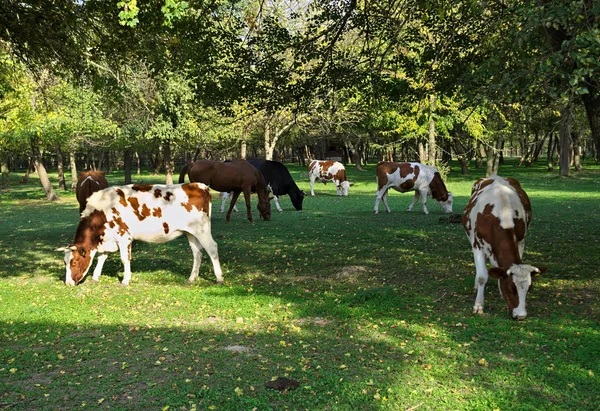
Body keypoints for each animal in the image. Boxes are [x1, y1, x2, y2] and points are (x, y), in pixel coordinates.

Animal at [57, 183, 223, 286]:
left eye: (74, 262)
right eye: (65, 262)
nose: (68, 283)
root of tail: (199, 185)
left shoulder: (124, 236)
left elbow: (124, 259)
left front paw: (125, 280)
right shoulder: (107, 238)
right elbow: (101, 258)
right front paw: (95, 277)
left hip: (202, 229)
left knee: (212, 248)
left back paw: (219, 278)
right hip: (191, 232)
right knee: (197, 252)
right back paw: (192, 278)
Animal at [462, 175, 548, 320]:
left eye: (529, 289)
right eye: (511, 288)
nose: (521, 316)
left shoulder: (520, 241)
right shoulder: (477, 245)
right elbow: (482, 276)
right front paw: (478, 305)